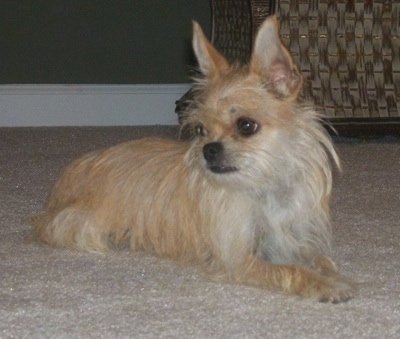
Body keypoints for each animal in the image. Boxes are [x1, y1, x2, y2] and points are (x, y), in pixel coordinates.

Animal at [29, 15, 354, 302]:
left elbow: (322, 260)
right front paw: (324, 285)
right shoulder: (239, 259)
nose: (208, 148)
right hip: (85, 223)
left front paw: (334, 276)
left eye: (246, 126)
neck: (265, 187)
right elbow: (292, 270)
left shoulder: (301, 241)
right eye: (200, 130)